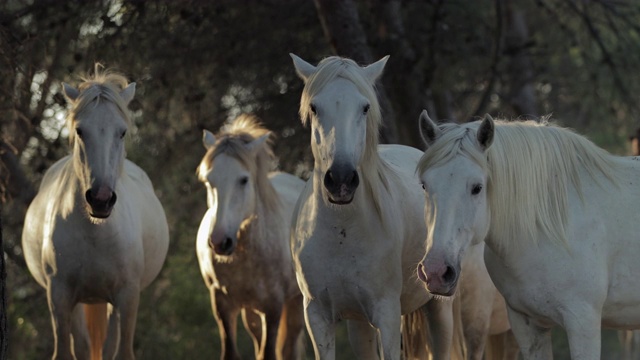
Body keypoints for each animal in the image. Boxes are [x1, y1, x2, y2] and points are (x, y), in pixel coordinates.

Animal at [22, 68, 169, 360]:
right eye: (80, 131)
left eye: (122, 132)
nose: (100, 199)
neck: (96, 234)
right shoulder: (59, 296)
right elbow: (65, 351)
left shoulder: (128, 296)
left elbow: (121, 351)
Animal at [195, 114, 308, 358]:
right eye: (209, 181)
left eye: (244, 179)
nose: (219, 242)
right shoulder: (222, 304)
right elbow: (231, 352)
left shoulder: (273, 307)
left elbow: (269, 353)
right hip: (251, 312)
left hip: (294, 301)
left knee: (288, 346)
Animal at [290, 53, 470, 360]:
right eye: (314, 107)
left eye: (365, 107)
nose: (341, 180)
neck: (342, 233)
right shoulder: (318, 316)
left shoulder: (387, 314)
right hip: (359, 322)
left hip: (438, 307)